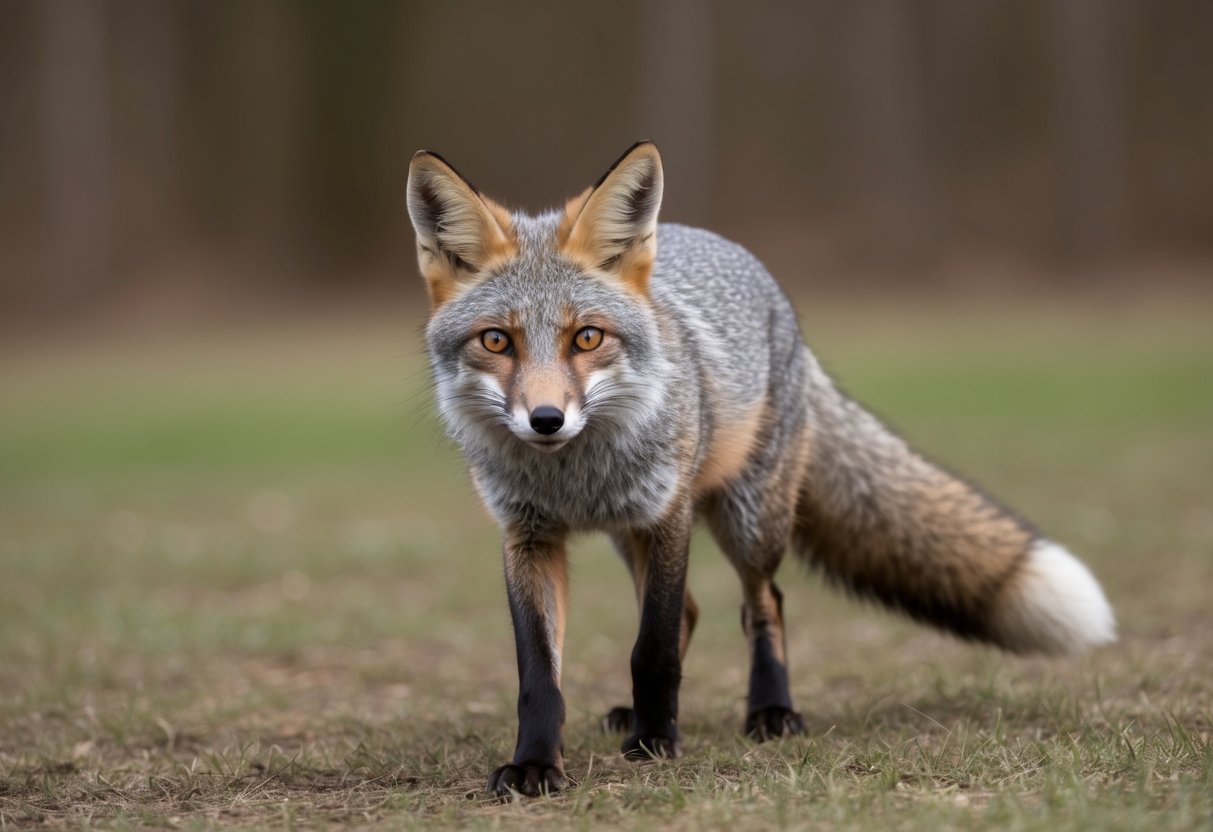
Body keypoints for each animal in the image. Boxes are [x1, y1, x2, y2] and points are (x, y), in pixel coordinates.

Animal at [404, 141, 1115, 797]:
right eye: (497, 341)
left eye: (587, 338)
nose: (546, 419)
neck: (573, 478)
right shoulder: (528, 534)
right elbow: (540, 674)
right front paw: (535, 764)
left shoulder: (668, 516)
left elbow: (652, 648)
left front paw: (657, 742)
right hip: (629, 535)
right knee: (694, 611)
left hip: (749, 520)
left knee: (763, 603)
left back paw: (770, 710)